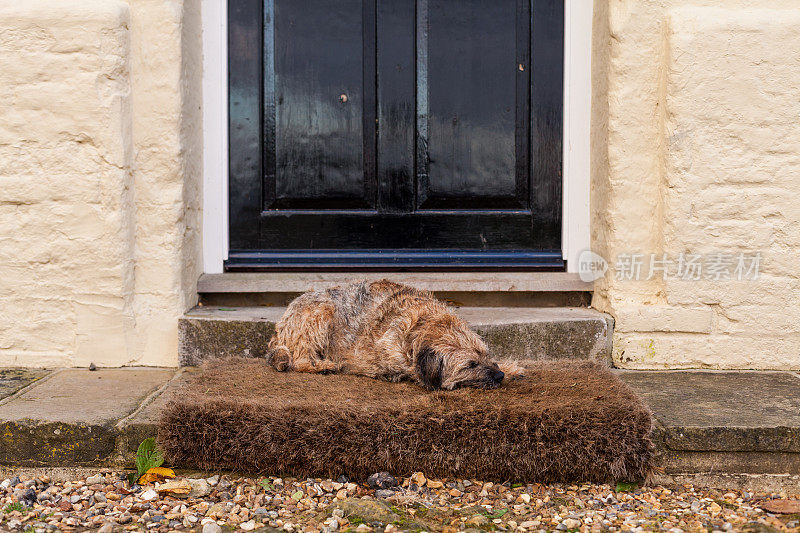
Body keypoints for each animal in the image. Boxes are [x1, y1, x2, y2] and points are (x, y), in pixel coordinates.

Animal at [268, 280, 506, 388]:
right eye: (470, 365)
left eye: (486, 355)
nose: (500, 376)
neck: (421, 324)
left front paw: (510, 367)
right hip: (321, 311)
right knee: (298, 359)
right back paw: (320, 365)